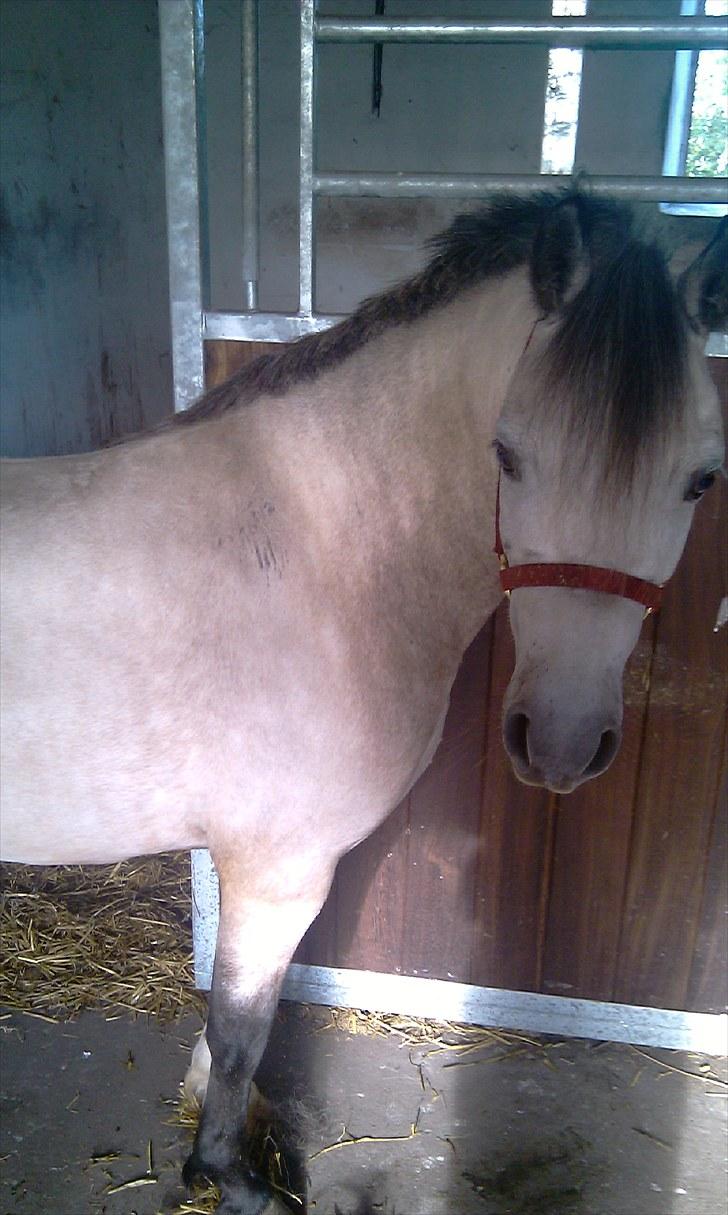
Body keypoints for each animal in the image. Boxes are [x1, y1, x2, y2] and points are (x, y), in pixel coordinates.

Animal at [1, 190, 725, 1215]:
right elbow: (242, 1028)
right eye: (508, 455)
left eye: (702, 477)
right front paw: (233, 1175)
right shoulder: (280, 867)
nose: (560, 740)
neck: (312, 545)